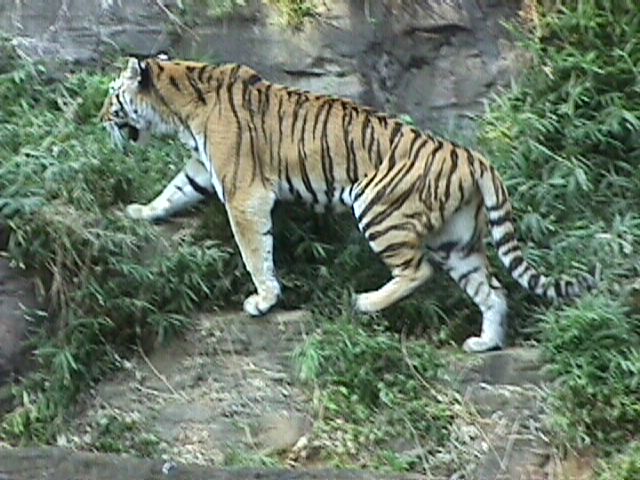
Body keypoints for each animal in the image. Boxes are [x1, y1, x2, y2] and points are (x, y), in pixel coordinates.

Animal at [97, 54, 596, 352]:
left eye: (113, 96)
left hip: (378, 208)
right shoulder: (203, 171)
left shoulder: (243, 193)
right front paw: (140, 212)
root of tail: (474, 157)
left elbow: (255, 251)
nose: (99, 117)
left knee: (418, 271)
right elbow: (172, 191)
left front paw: (264, 299)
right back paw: (484, 343)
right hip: (456, 241)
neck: (181, 107)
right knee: (492, 290)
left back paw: (367, 303)